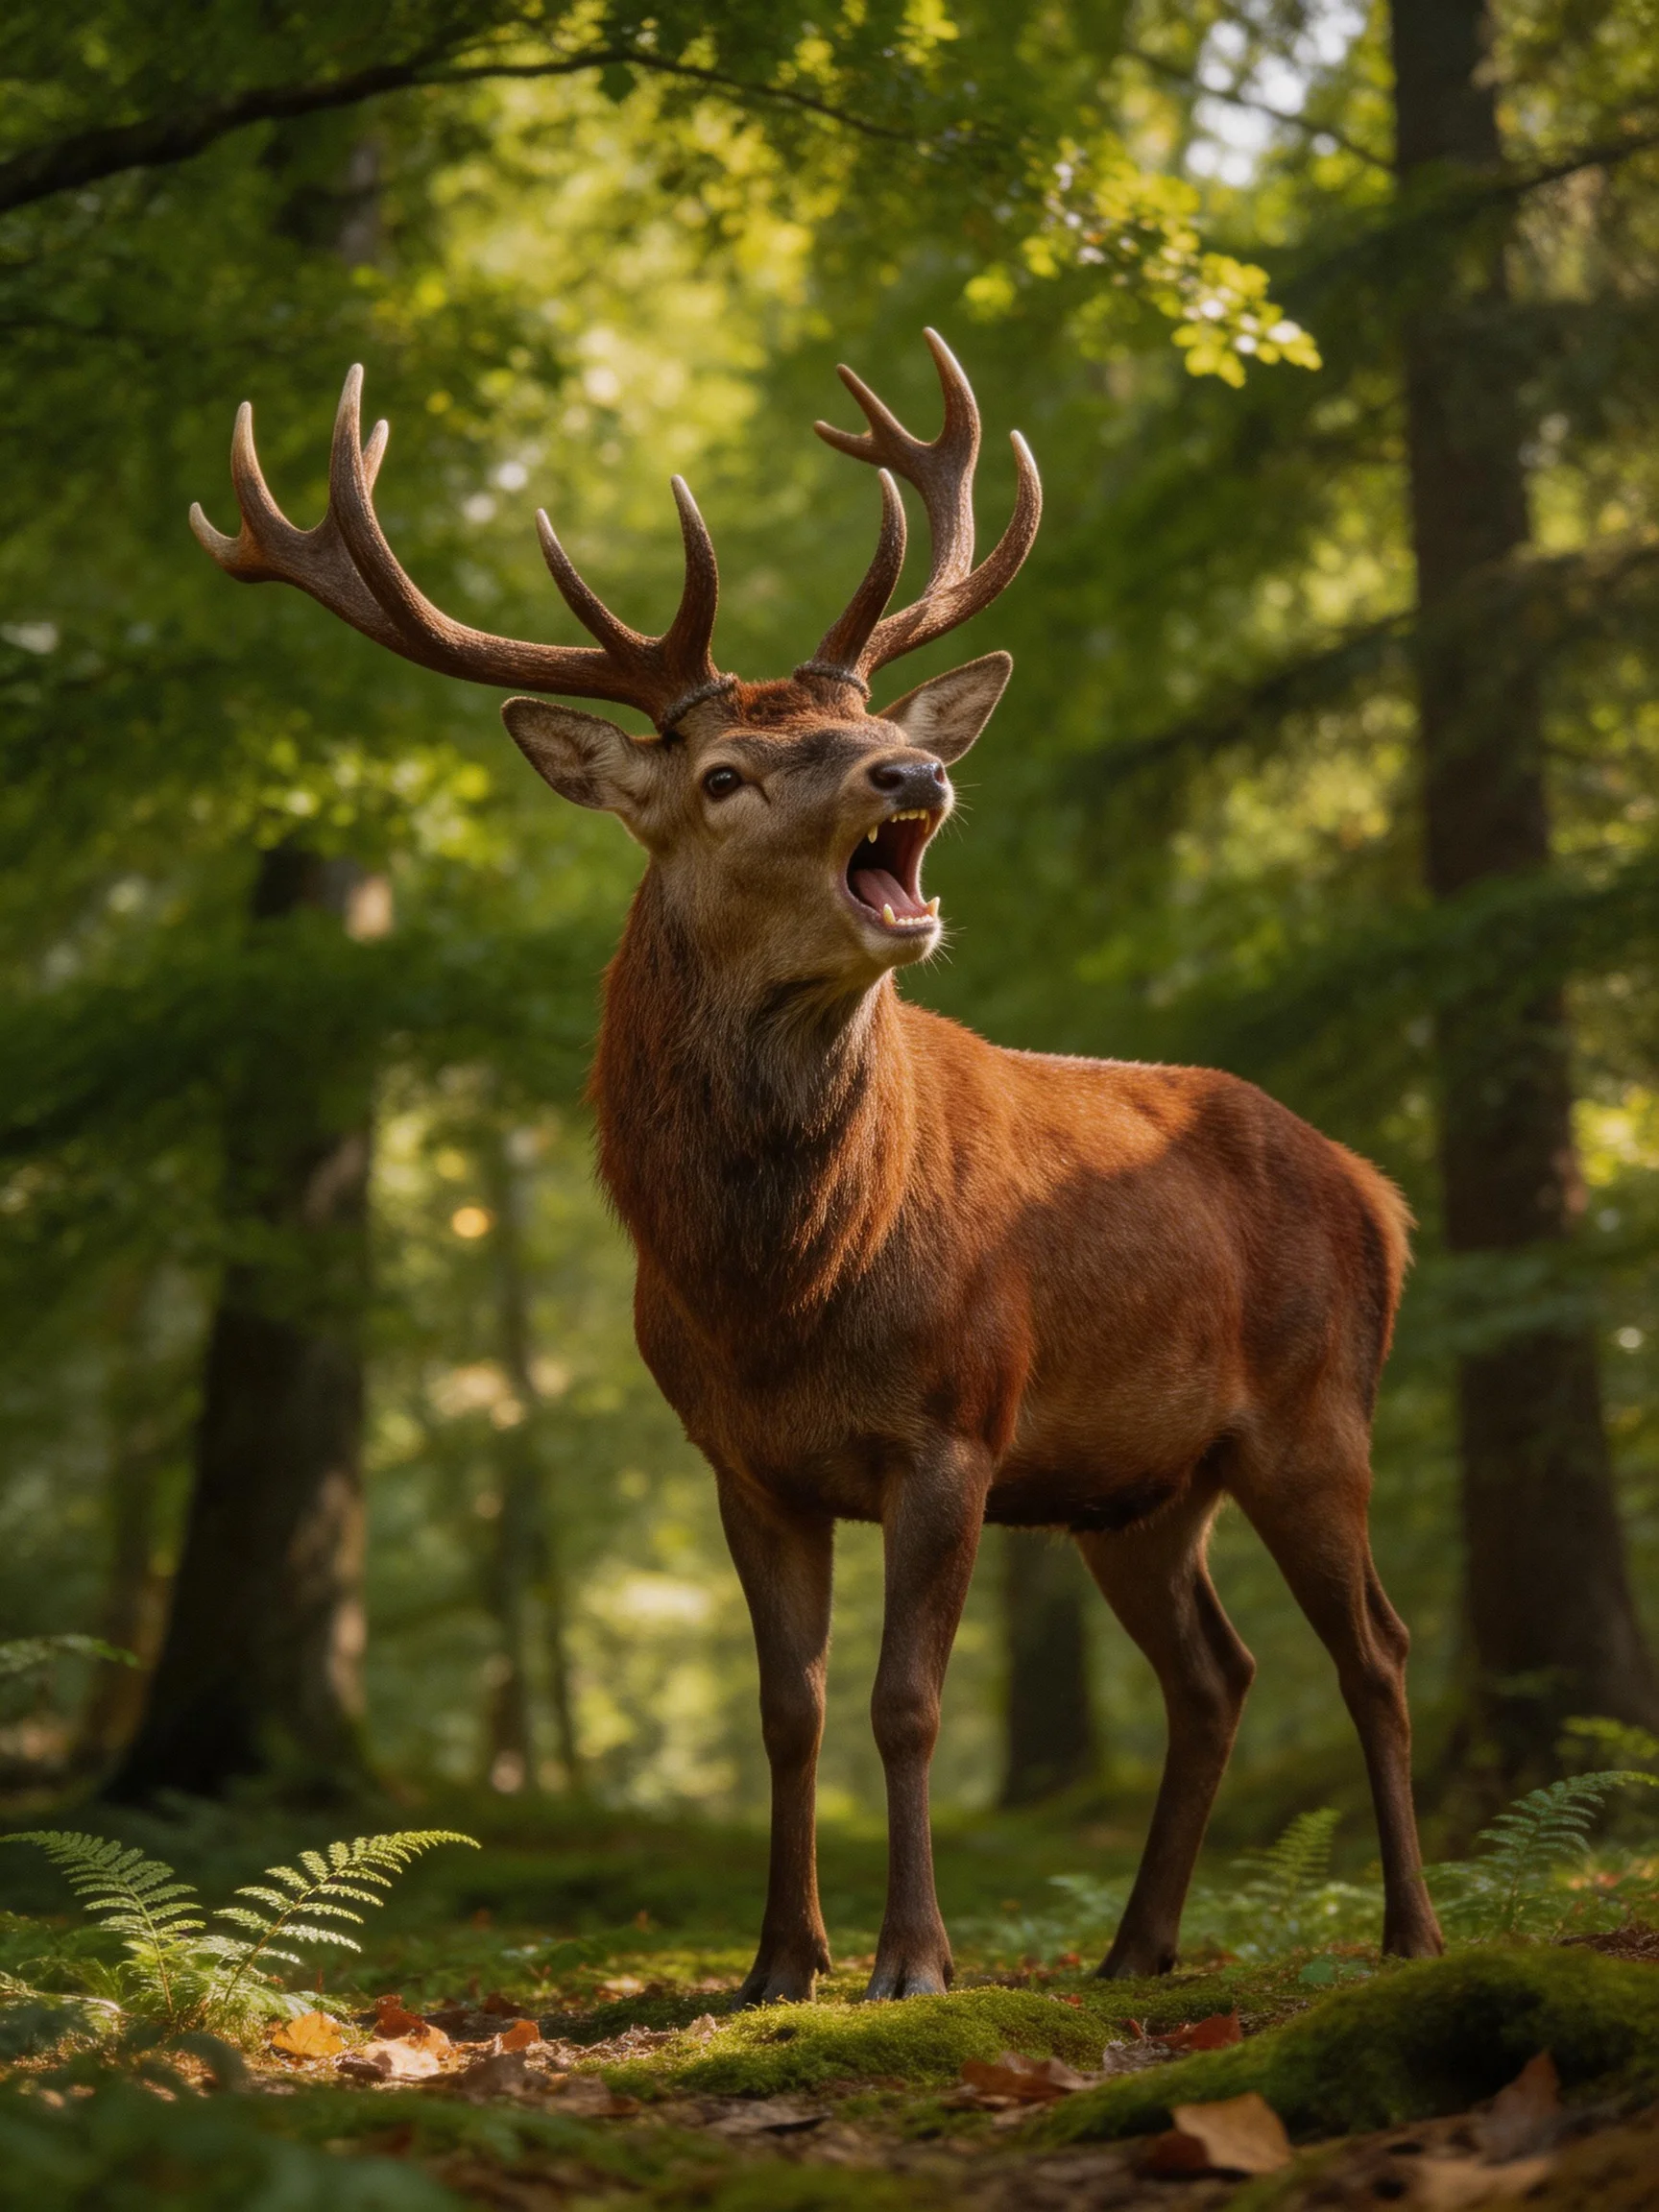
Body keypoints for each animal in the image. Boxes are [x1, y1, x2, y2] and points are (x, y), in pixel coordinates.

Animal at [192, 332, 1445, 2000]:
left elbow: (902, 1703)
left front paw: (913, 1962)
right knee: (1218, 1673)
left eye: (866, 733)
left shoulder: (956, 1426)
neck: (780, 1286)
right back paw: (1136, 1951)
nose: (912, 773)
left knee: (1376, 1649)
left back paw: (1411, 1931)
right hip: (1138, 1491)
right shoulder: (742, 1462)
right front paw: (779, 1961)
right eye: (724, 773)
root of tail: (1379, 1192)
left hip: (1318, 1413)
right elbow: (785, 1712)